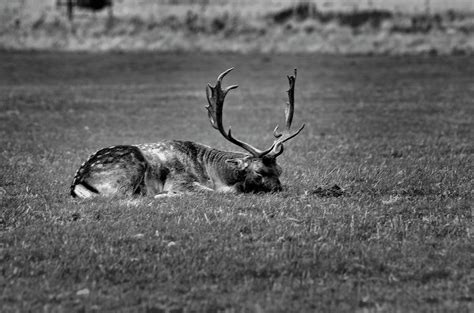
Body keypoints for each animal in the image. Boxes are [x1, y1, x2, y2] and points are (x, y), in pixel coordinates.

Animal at [71, 67, 306, 197]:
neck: (214, 174)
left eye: (280, 171)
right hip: (129, 170)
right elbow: (212, 193)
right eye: (259, 173)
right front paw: (165, 195)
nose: (280, 190)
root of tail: (77, 181)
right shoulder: (181, 180)